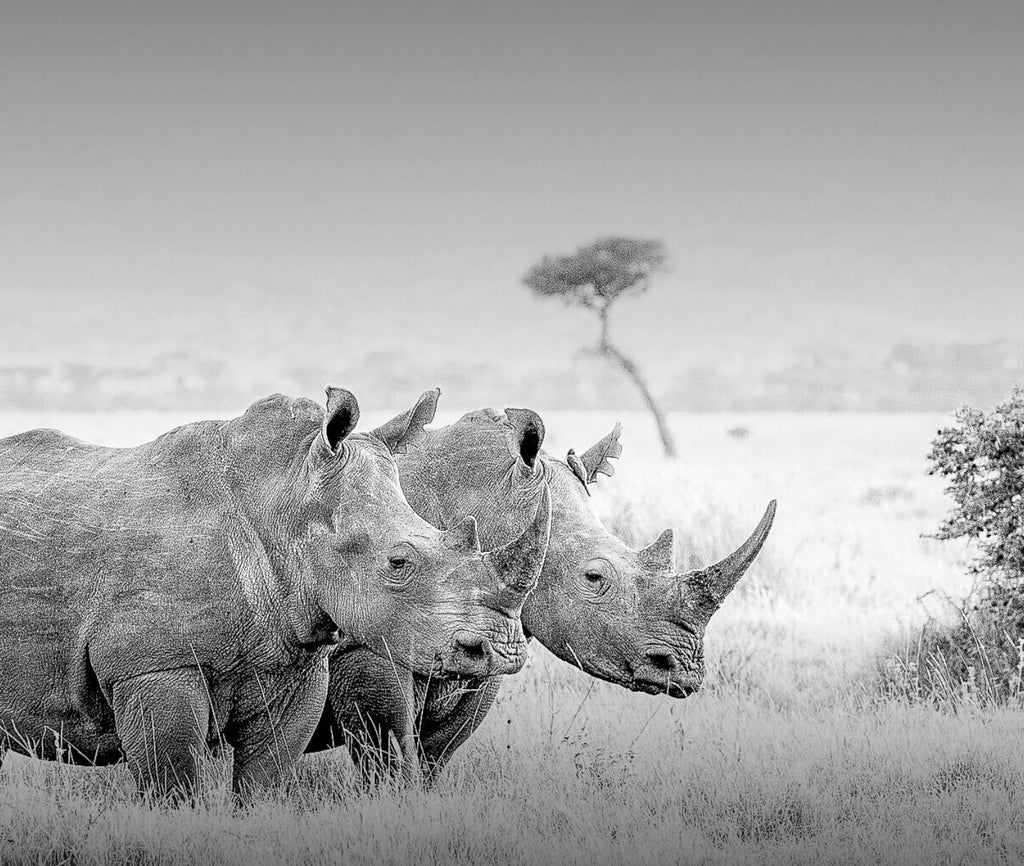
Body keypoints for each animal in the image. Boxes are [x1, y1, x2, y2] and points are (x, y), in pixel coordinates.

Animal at [0, 388, 552, 798]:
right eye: (399, 564)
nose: (502, 650)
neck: (285, 501)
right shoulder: (152, 663)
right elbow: (173, 785)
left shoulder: (293, 659)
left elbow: (262, 783)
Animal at [305, 393, 774, 786]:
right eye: (593, 578)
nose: (686, 670)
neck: (482, 501)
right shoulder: (367, 641)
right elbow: (387, 761)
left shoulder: (483, 652)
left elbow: (434, 756)